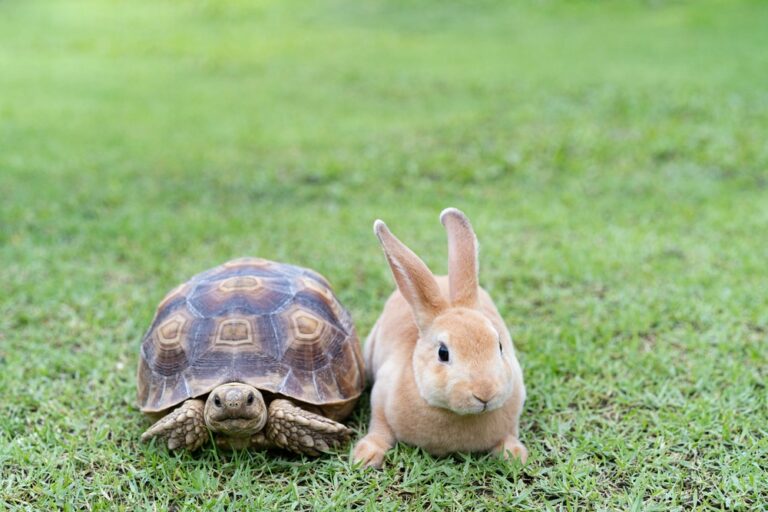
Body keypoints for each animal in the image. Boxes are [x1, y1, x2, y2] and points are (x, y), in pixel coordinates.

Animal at [352, 208, 527, 469]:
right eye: (443, 353)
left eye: (499, 345)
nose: (485, 393)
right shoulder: (381, 398)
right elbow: (379, 430)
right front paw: (364, 457)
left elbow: (509, 434)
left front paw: (516, 456)